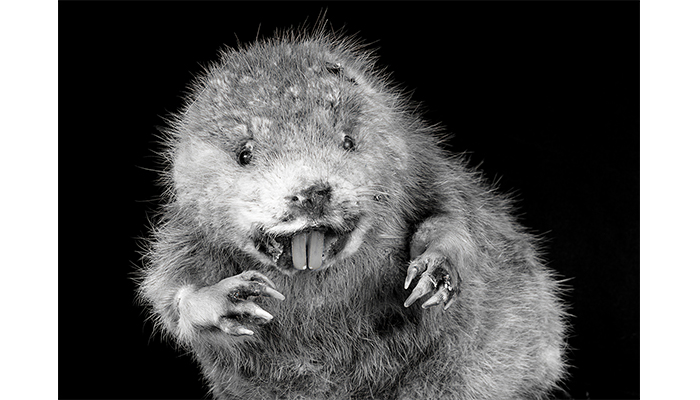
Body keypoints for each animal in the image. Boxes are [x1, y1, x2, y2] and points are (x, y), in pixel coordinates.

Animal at [138, 26, 568, 398]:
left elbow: (452, 222)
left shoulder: (427, 172)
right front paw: (231, 298)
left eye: (348, 140)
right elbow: (167, 295)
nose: (312, 192)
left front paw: (433, 273)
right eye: (244, 153)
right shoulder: (183, 233)